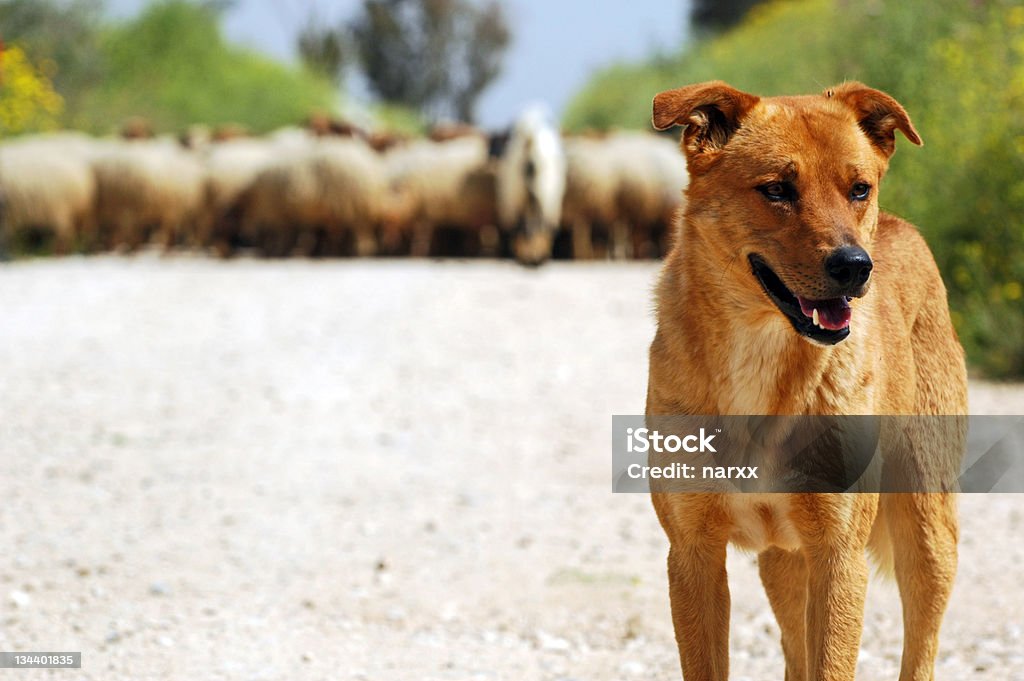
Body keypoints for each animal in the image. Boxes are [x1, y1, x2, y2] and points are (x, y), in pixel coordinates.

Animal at [647, 82, 966, 675]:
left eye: (859, 189)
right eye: (776, 189)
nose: (855, 266)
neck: (761, 354)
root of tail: (902, 227)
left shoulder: (838, 555)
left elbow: (834, 665)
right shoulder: (694, 554)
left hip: (927, 531)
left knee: (921, 651)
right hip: (783, 563)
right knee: (794, 652)